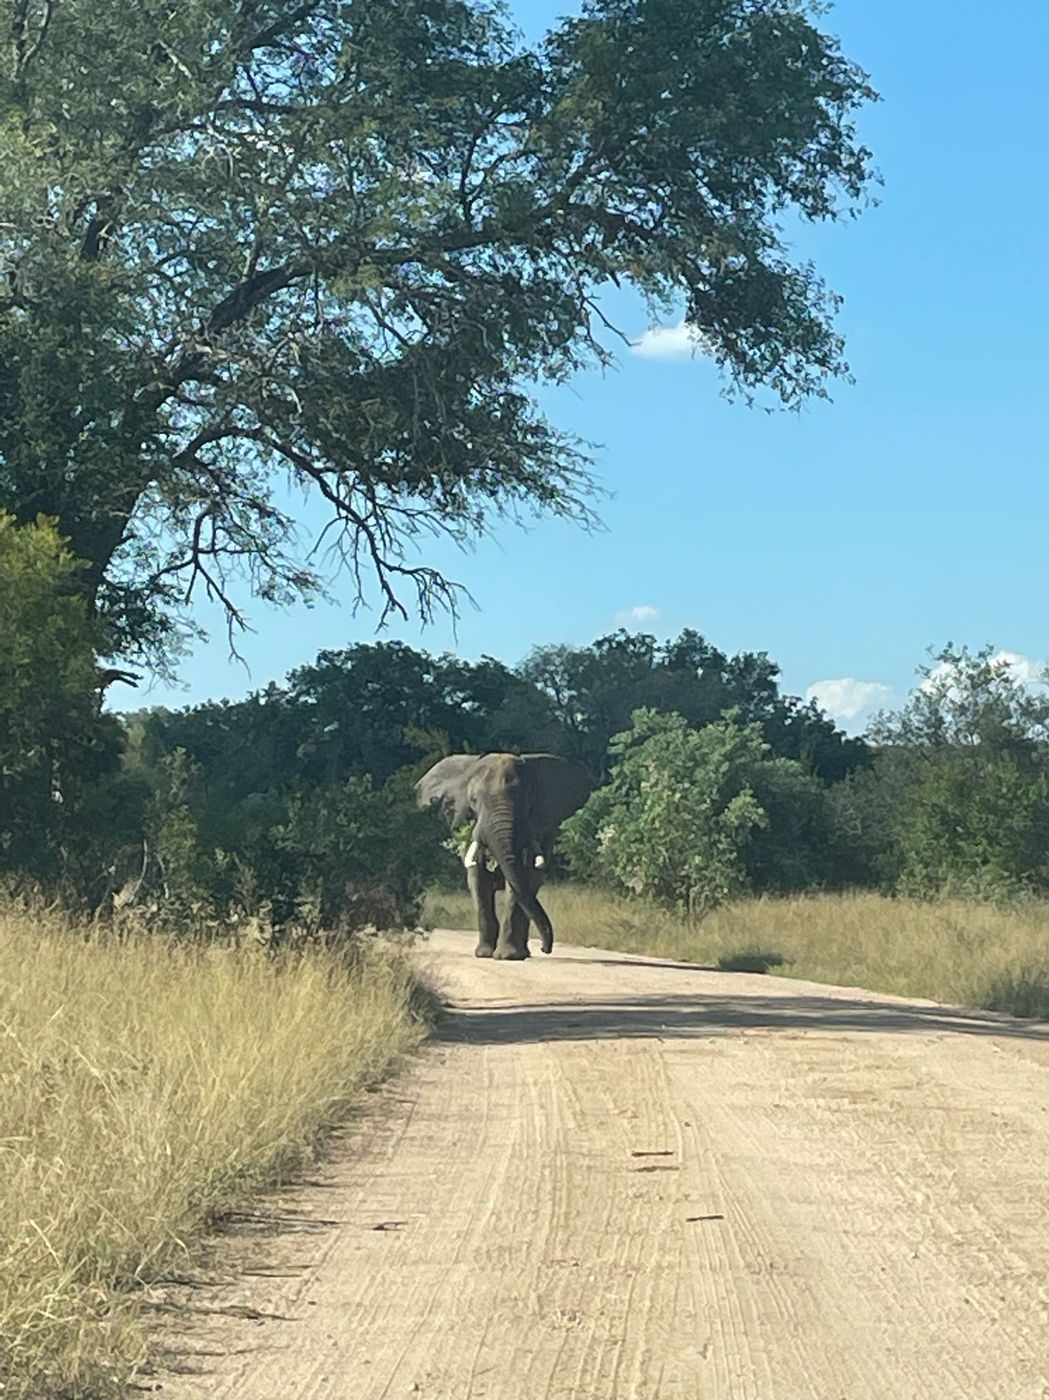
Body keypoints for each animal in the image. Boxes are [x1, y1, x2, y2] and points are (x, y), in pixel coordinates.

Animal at [416, 752, 592, 960]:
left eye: (527, 800)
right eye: (473, 800)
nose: (545, 948)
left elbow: (519, 881)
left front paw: (508, 956)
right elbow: (478, 879)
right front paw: (484, 954)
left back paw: (523, 953)